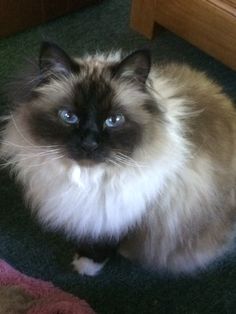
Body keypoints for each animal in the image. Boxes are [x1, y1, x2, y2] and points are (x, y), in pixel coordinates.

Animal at [0, 41, 236, 274]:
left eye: (114, 120)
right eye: (69, 117)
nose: (89, 144)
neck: (88, 178)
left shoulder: (125, 213)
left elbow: (104, 242)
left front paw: (86, 265)